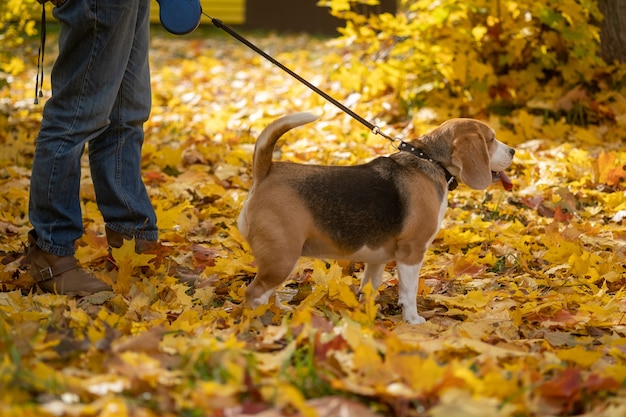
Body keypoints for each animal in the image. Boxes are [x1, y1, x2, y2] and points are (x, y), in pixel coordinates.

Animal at [236, 112, 516, 324]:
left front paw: (368, 314)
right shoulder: (412, 251)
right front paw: (413, 320)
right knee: (254, 293)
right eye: (491, 140)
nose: (513, 150)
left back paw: (279, 311)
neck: (431, 161)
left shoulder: (377, 257)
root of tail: (266, 171)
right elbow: (409, 290)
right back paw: (263, 320)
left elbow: (370, 286)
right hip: (282, 257)